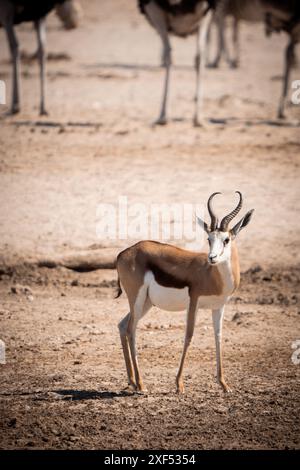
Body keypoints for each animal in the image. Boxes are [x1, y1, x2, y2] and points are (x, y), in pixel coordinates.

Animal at [116, 191, 254, 392]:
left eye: (226, 240)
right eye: (209, 239)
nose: (211, 258)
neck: (211, 275)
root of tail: (123, 253)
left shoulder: (218, 307)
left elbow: (218, 337)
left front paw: (224, 384)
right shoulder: (194, 302)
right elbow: (188, 336)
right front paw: (179, 384)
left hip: (146, 303)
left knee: (122, 325)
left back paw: (132, 381)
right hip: (137, 298)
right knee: (130, 330)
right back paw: (141, 385)